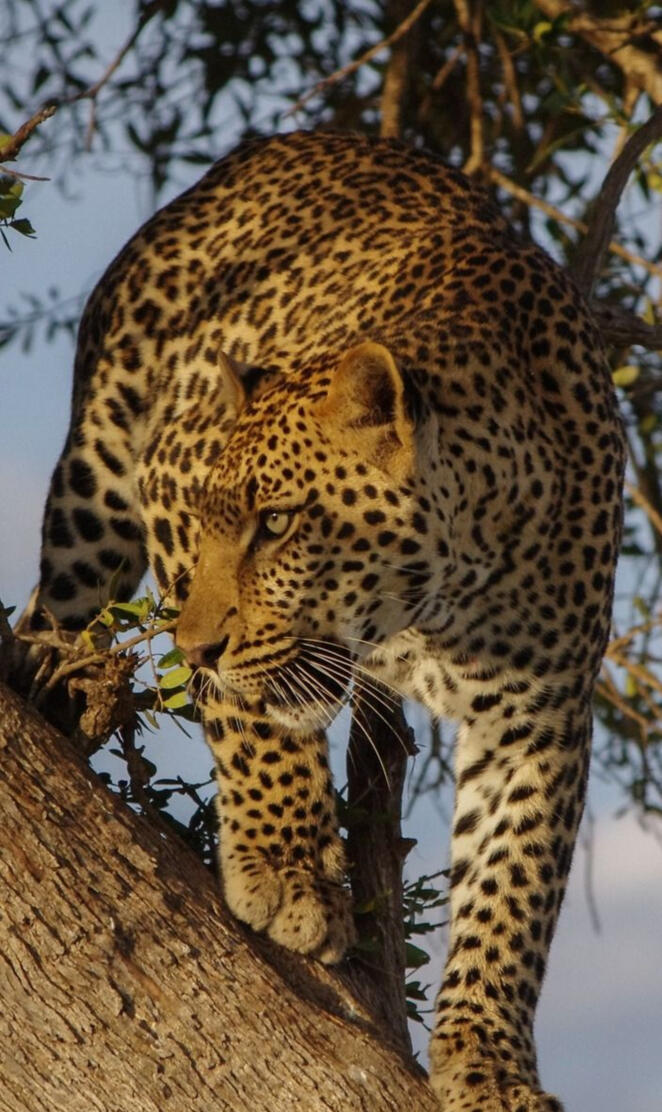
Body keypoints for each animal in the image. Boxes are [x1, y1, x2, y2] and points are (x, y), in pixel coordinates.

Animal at [22, 130, 624, 1109]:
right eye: (216, 519)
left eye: (277, 524)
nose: (194, 648)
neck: (441, 597)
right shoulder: (169, 474)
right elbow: (253, 718)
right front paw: (286, 869)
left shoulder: (541, 714)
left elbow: (513, 889)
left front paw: (489, 1062)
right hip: (99, 478)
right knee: (56, 609)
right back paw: (53, 689)